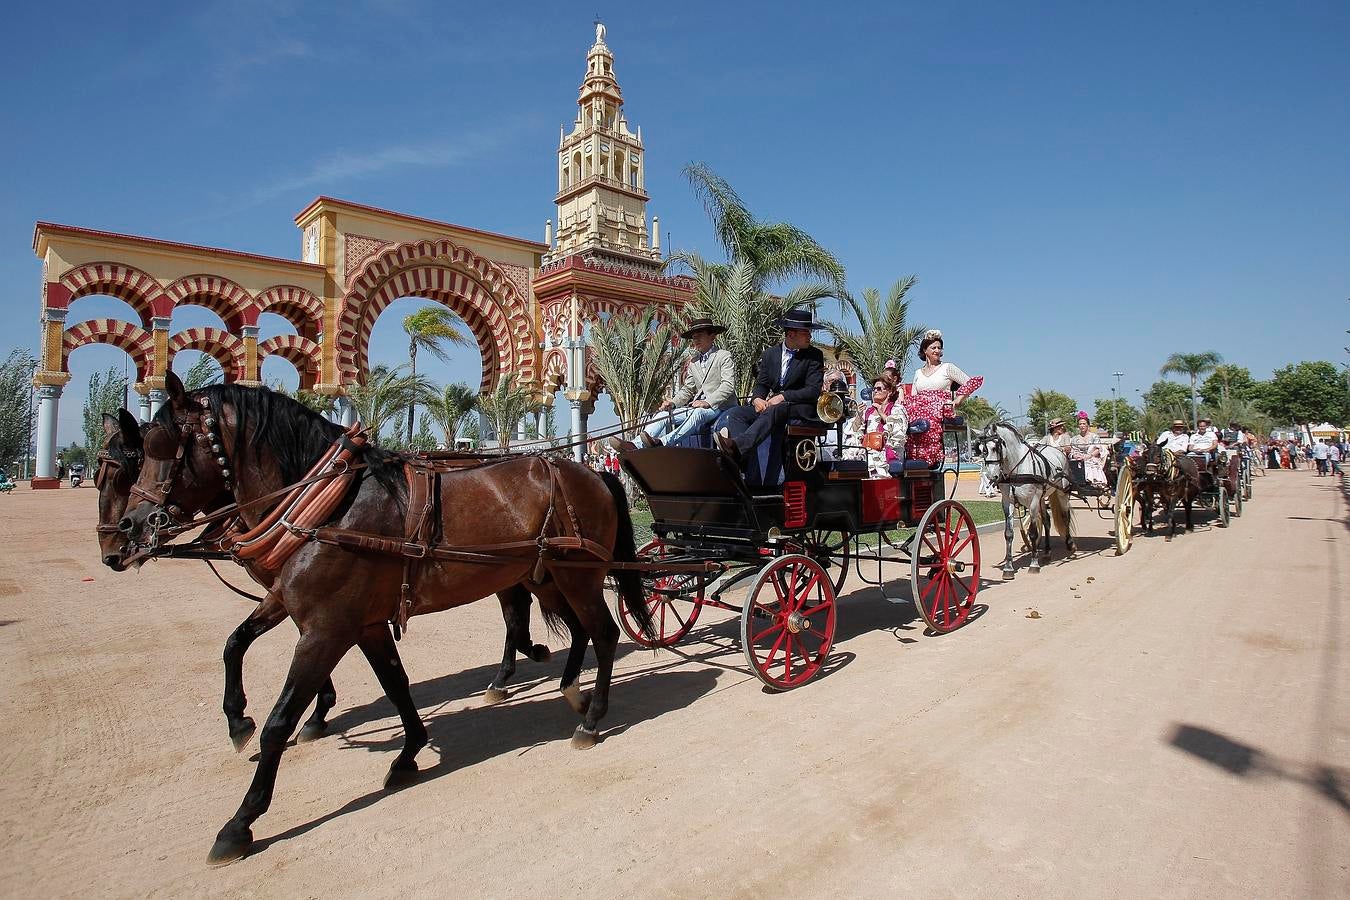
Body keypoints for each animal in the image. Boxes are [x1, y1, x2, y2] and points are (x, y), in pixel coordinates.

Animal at [116, 375, 648, 863]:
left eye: (161, 446)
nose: (128, 529)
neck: (330, 507)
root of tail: (590, 473)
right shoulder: (347, 619)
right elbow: (388, 682)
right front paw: (408, 750)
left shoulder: (325, 630)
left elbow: (279, 721)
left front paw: (241, 821)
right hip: (548, 577)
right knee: (578, 631)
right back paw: (571, 692)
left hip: (577, 576)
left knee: (603, 633)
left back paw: (591, 719)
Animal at [972, 420, 1074, 580]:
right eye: (981, 449)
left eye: (995, 447)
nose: (991, 476)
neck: (1016, 469)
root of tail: (1059, 452)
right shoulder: (1007, 502)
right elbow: (1008, 534)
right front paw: (1008, 567)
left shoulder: (1032, 502)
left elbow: (1032, 533)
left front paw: (1034, 564)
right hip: (1042, 497)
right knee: (1046, 521)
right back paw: (1047, 552)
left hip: (1061, 493)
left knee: (1065, 516)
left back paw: (1069, 543)